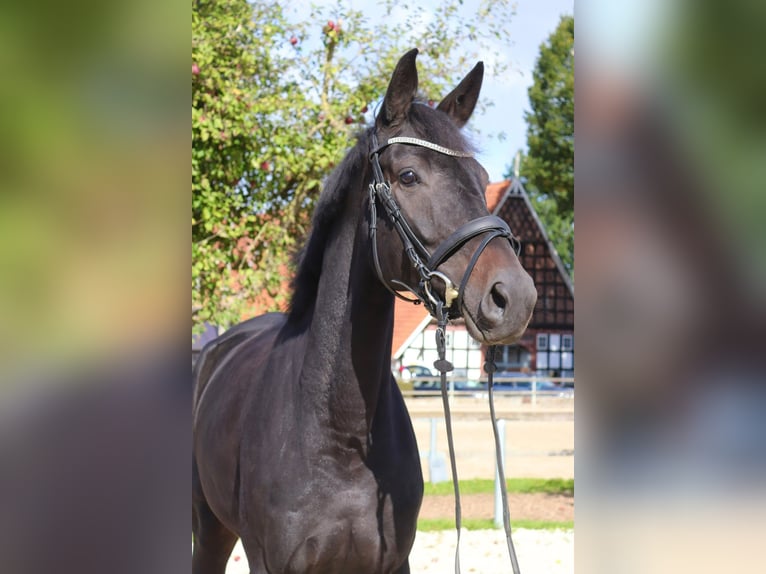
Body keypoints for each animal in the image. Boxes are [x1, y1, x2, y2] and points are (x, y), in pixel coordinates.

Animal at [192, 48, 537, 574]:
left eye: (482, 180)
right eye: (409, 176)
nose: (514, 296)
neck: (340, 433)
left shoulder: (393, 562)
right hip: (209, 529)